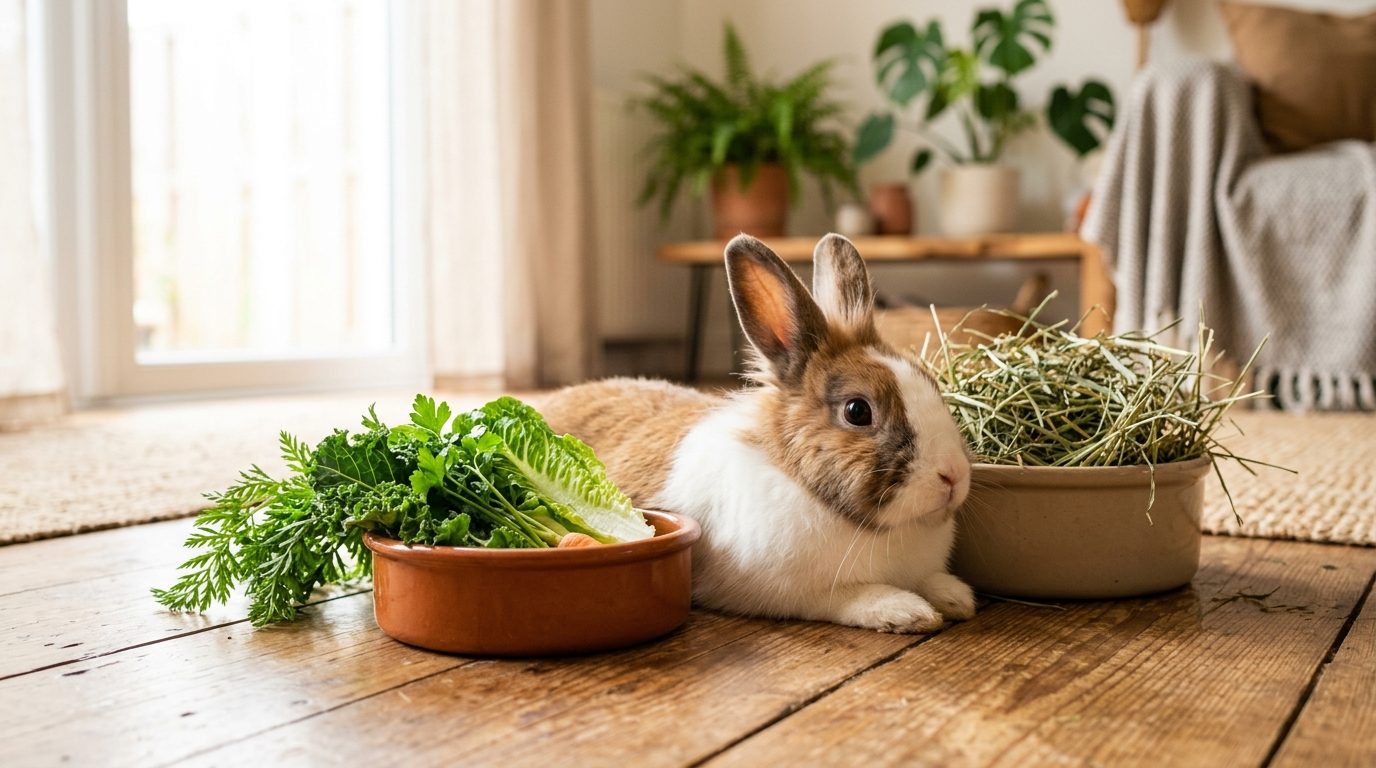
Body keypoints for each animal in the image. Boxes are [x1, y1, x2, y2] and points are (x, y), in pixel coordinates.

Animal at [539, 233, 974, 633]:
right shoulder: (791, 592)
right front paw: (908, 611)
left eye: (931, 384)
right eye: (858, 411)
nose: (953, 475)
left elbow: (931, 580)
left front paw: (956, 597)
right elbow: (851, 596)